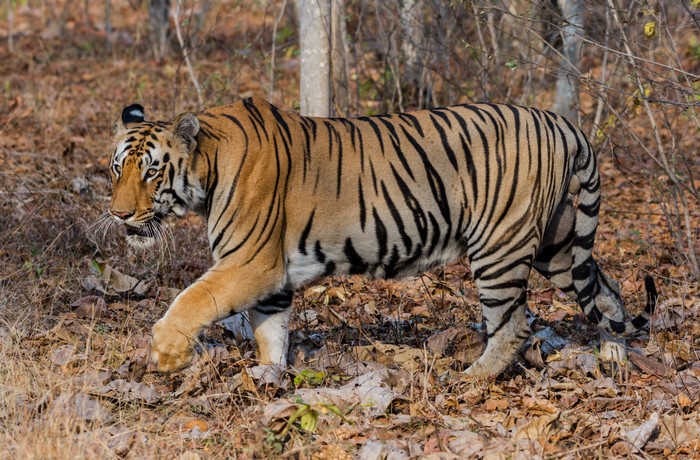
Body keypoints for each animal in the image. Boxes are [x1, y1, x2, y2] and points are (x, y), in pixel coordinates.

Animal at [108, 96, 657, 379]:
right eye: (117, 169)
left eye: (152, 172)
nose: (118, 214)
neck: (209, 166)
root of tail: (564, 124)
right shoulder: (272, 277)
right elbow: (270, 331)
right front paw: (271, 379)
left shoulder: (250, 263)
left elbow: (192, 299)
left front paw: (165, 354)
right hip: (558, 245)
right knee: (606, 293)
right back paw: (614, 359)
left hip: (501, 246)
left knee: (515, 325)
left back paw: (471, 380)